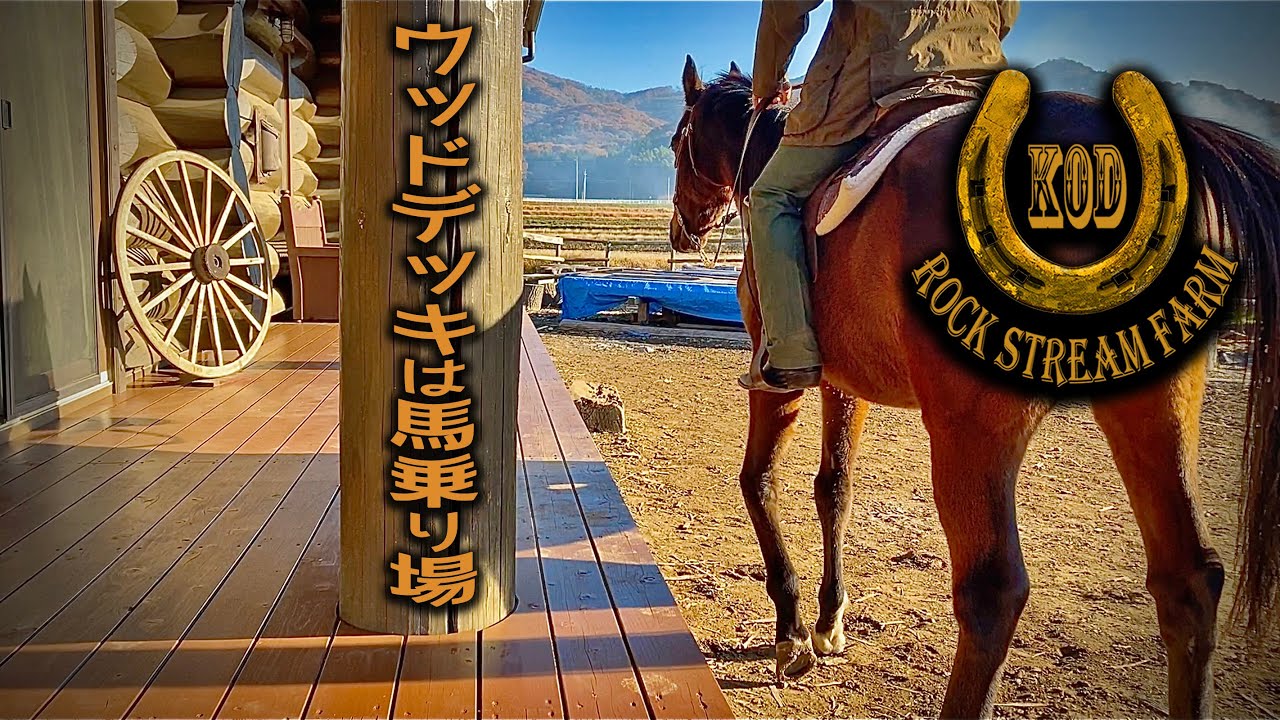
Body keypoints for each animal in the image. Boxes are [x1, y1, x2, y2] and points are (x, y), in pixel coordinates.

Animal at [667, 56, 1280, 719]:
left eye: (676, 143)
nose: (680, 231)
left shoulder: (777, 376)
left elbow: (759, 482)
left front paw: (792, 632)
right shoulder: (844, 385)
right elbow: (835, 490)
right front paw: (829, 621)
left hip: (970, 428)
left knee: (992, 593)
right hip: (1157, 408)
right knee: (1189, 582)